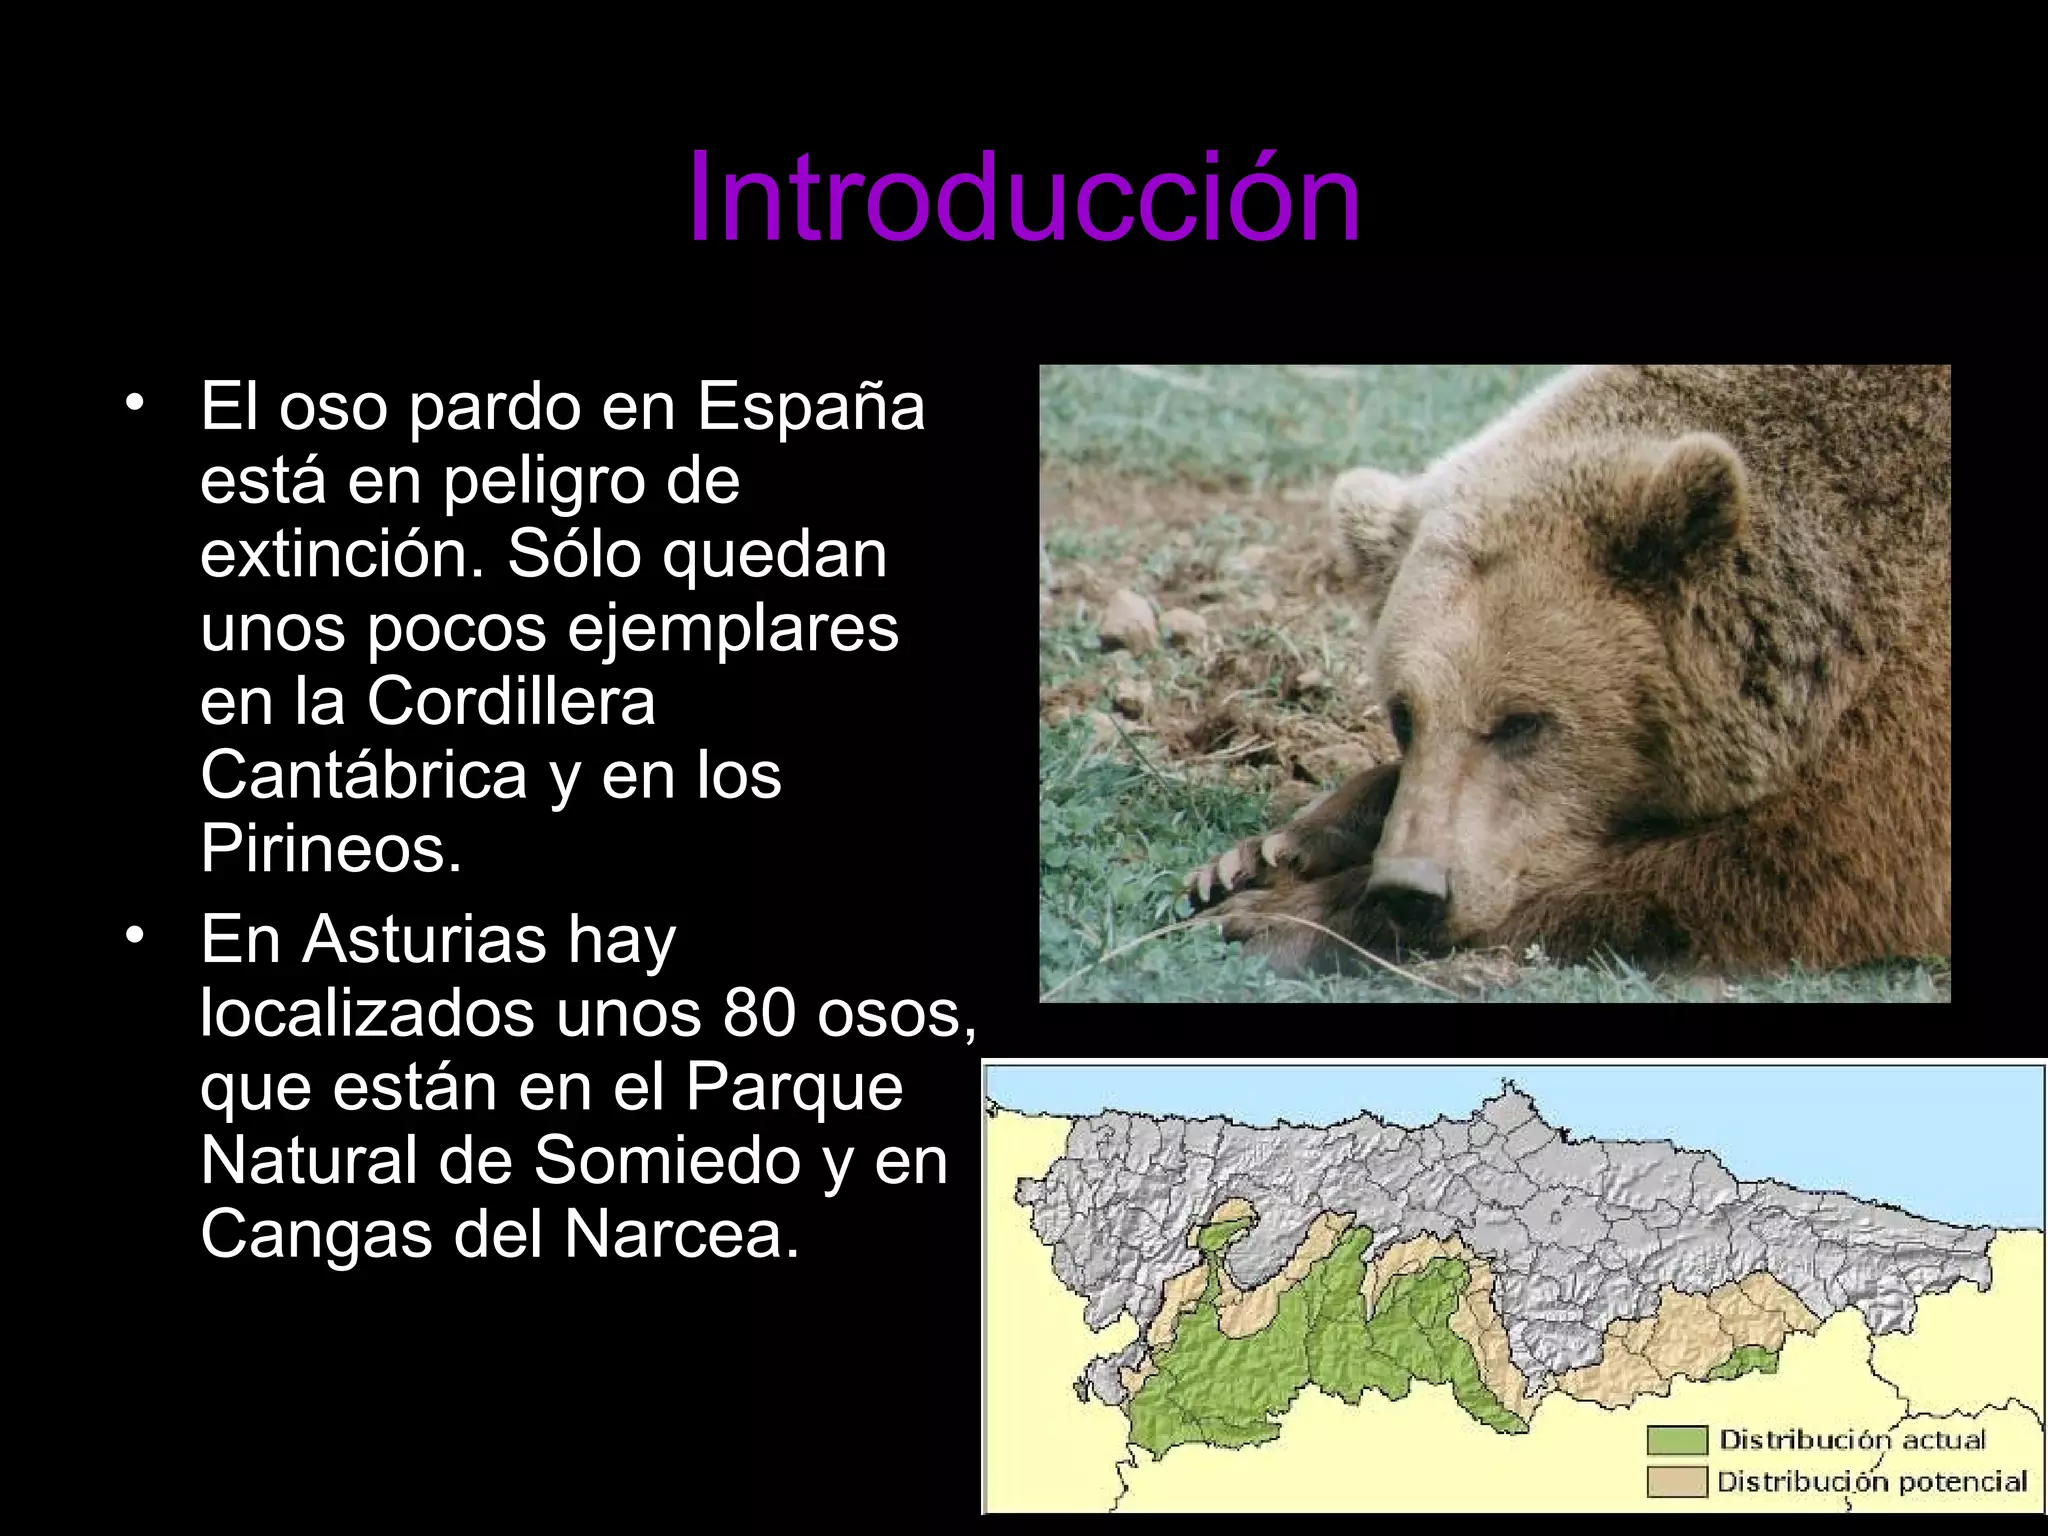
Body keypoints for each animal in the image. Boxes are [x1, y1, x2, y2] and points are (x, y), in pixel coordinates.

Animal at [1184, 365, 1950, 973]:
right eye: (1403, 715)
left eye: (1524, 721)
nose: (1413, 890)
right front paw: (1264, 855)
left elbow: (1816, 865)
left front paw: (1281, 914)